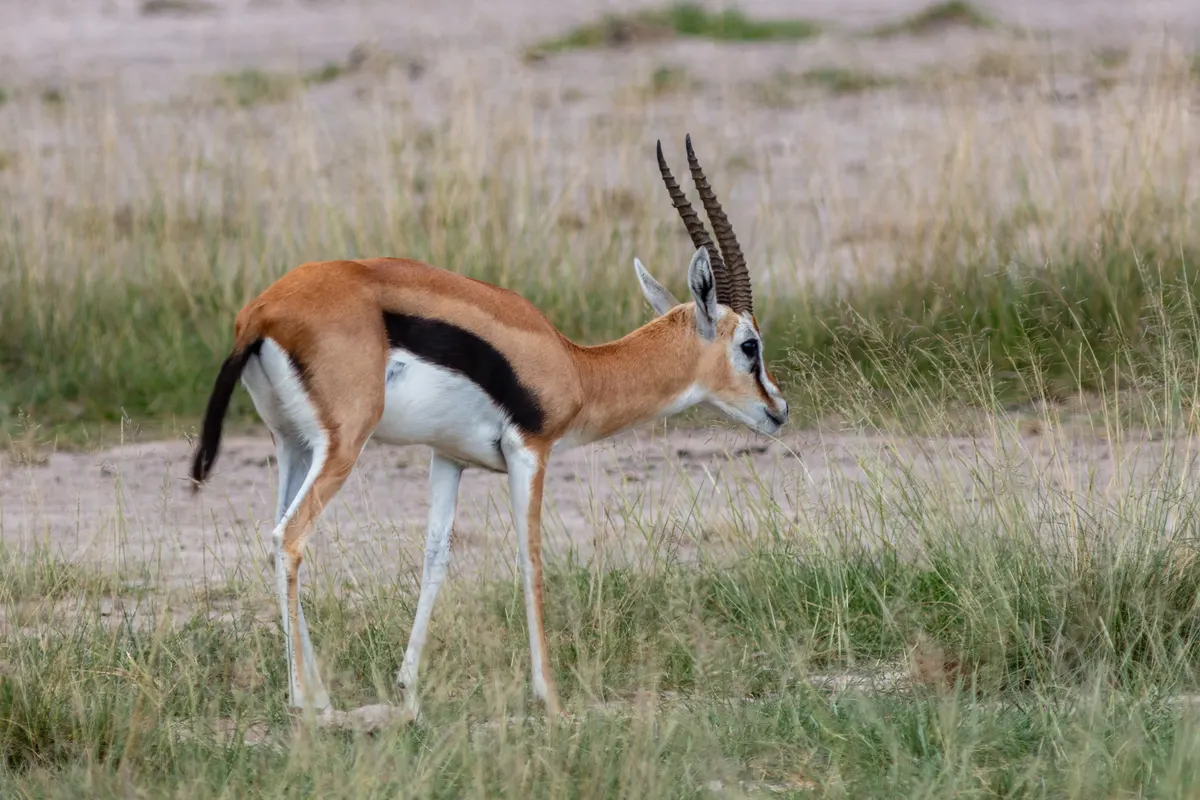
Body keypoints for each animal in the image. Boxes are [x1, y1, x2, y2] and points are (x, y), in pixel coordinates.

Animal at [189, 135, 788, 719]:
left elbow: (435, 558)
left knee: (276, 535)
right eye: (749, 345)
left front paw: (408, 687)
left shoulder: (448, 457)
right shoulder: (531, 451)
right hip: (342, 447)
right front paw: (549, 696)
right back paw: (306, 702)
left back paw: (318, 693)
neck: (576, 367)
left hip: (293, 445)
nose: (779, 409)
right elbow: (531, 557)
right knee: (290, 536)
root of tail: (262, 313)